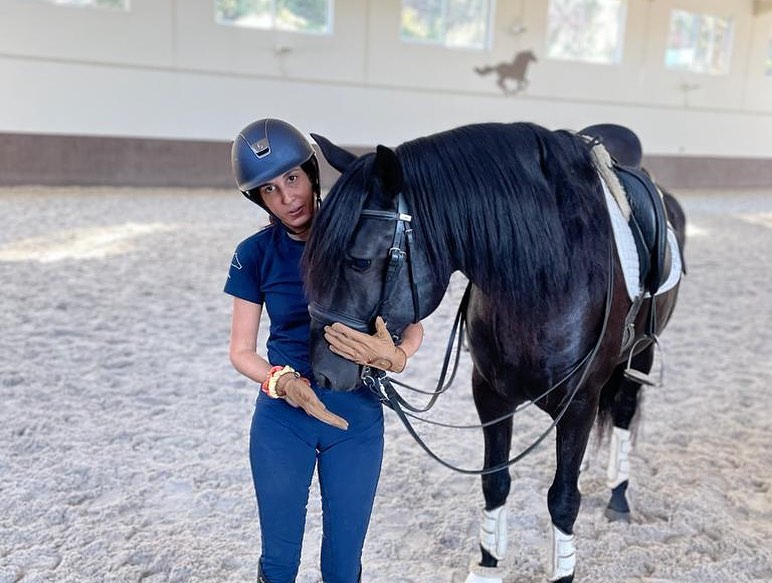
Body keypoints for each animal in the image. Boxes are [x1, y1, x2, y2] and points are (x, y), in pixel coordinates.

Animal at [303, 122, 686, 582]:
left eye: (359, 261)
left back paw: (619, 496)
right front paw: (488, 563)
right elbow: (495, 481)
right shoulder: (490, 394)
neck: (549, 274)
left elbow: (563, 499)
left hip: (639, 358)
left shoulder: (579, 403)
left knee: (625, 413)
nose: (322, 373)